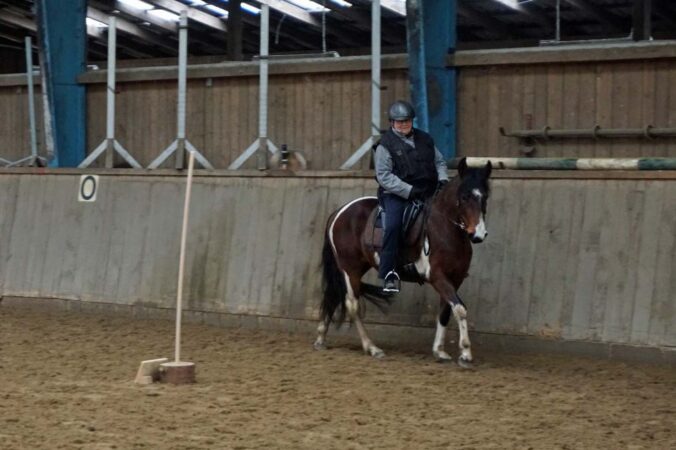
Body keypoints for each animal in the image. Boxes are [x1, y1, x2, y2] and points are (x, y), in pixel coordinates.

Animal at [314, 156, 494, 368]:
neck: (445, 229)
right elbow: (460, 309)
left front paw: (439, 351)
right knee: (352, 305)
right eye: (465, 197)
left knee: (334, 296)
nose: (478, 234)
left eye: (485, 196)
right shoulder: (438, 277)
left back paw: (321, 339)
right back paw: (372, 347)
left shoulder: (454, 279)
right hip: (350, 269)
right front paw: (465, 353)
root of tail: (339, 212)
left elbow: (445, 312)